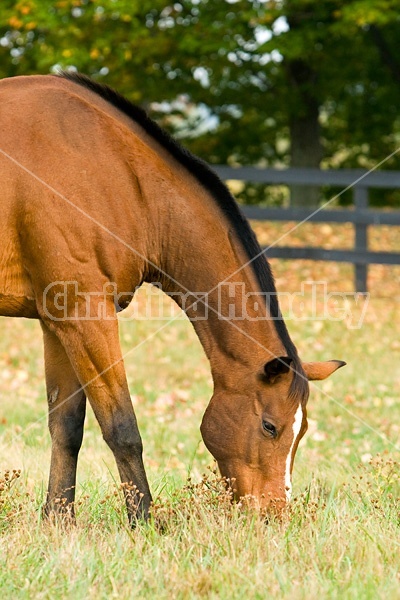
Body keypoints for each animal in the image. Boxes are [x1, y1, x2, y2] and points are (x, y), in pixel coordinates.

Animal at [0, 72, 344, 524]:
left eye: (301, 431)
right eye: (270, 426)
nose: (274, 515)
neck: (120, 176)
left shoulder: (58, 322)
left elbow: (67, 426)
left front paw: (58, 521)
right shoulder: (86, 314)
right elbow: (122, 428)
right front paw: (144, 520)